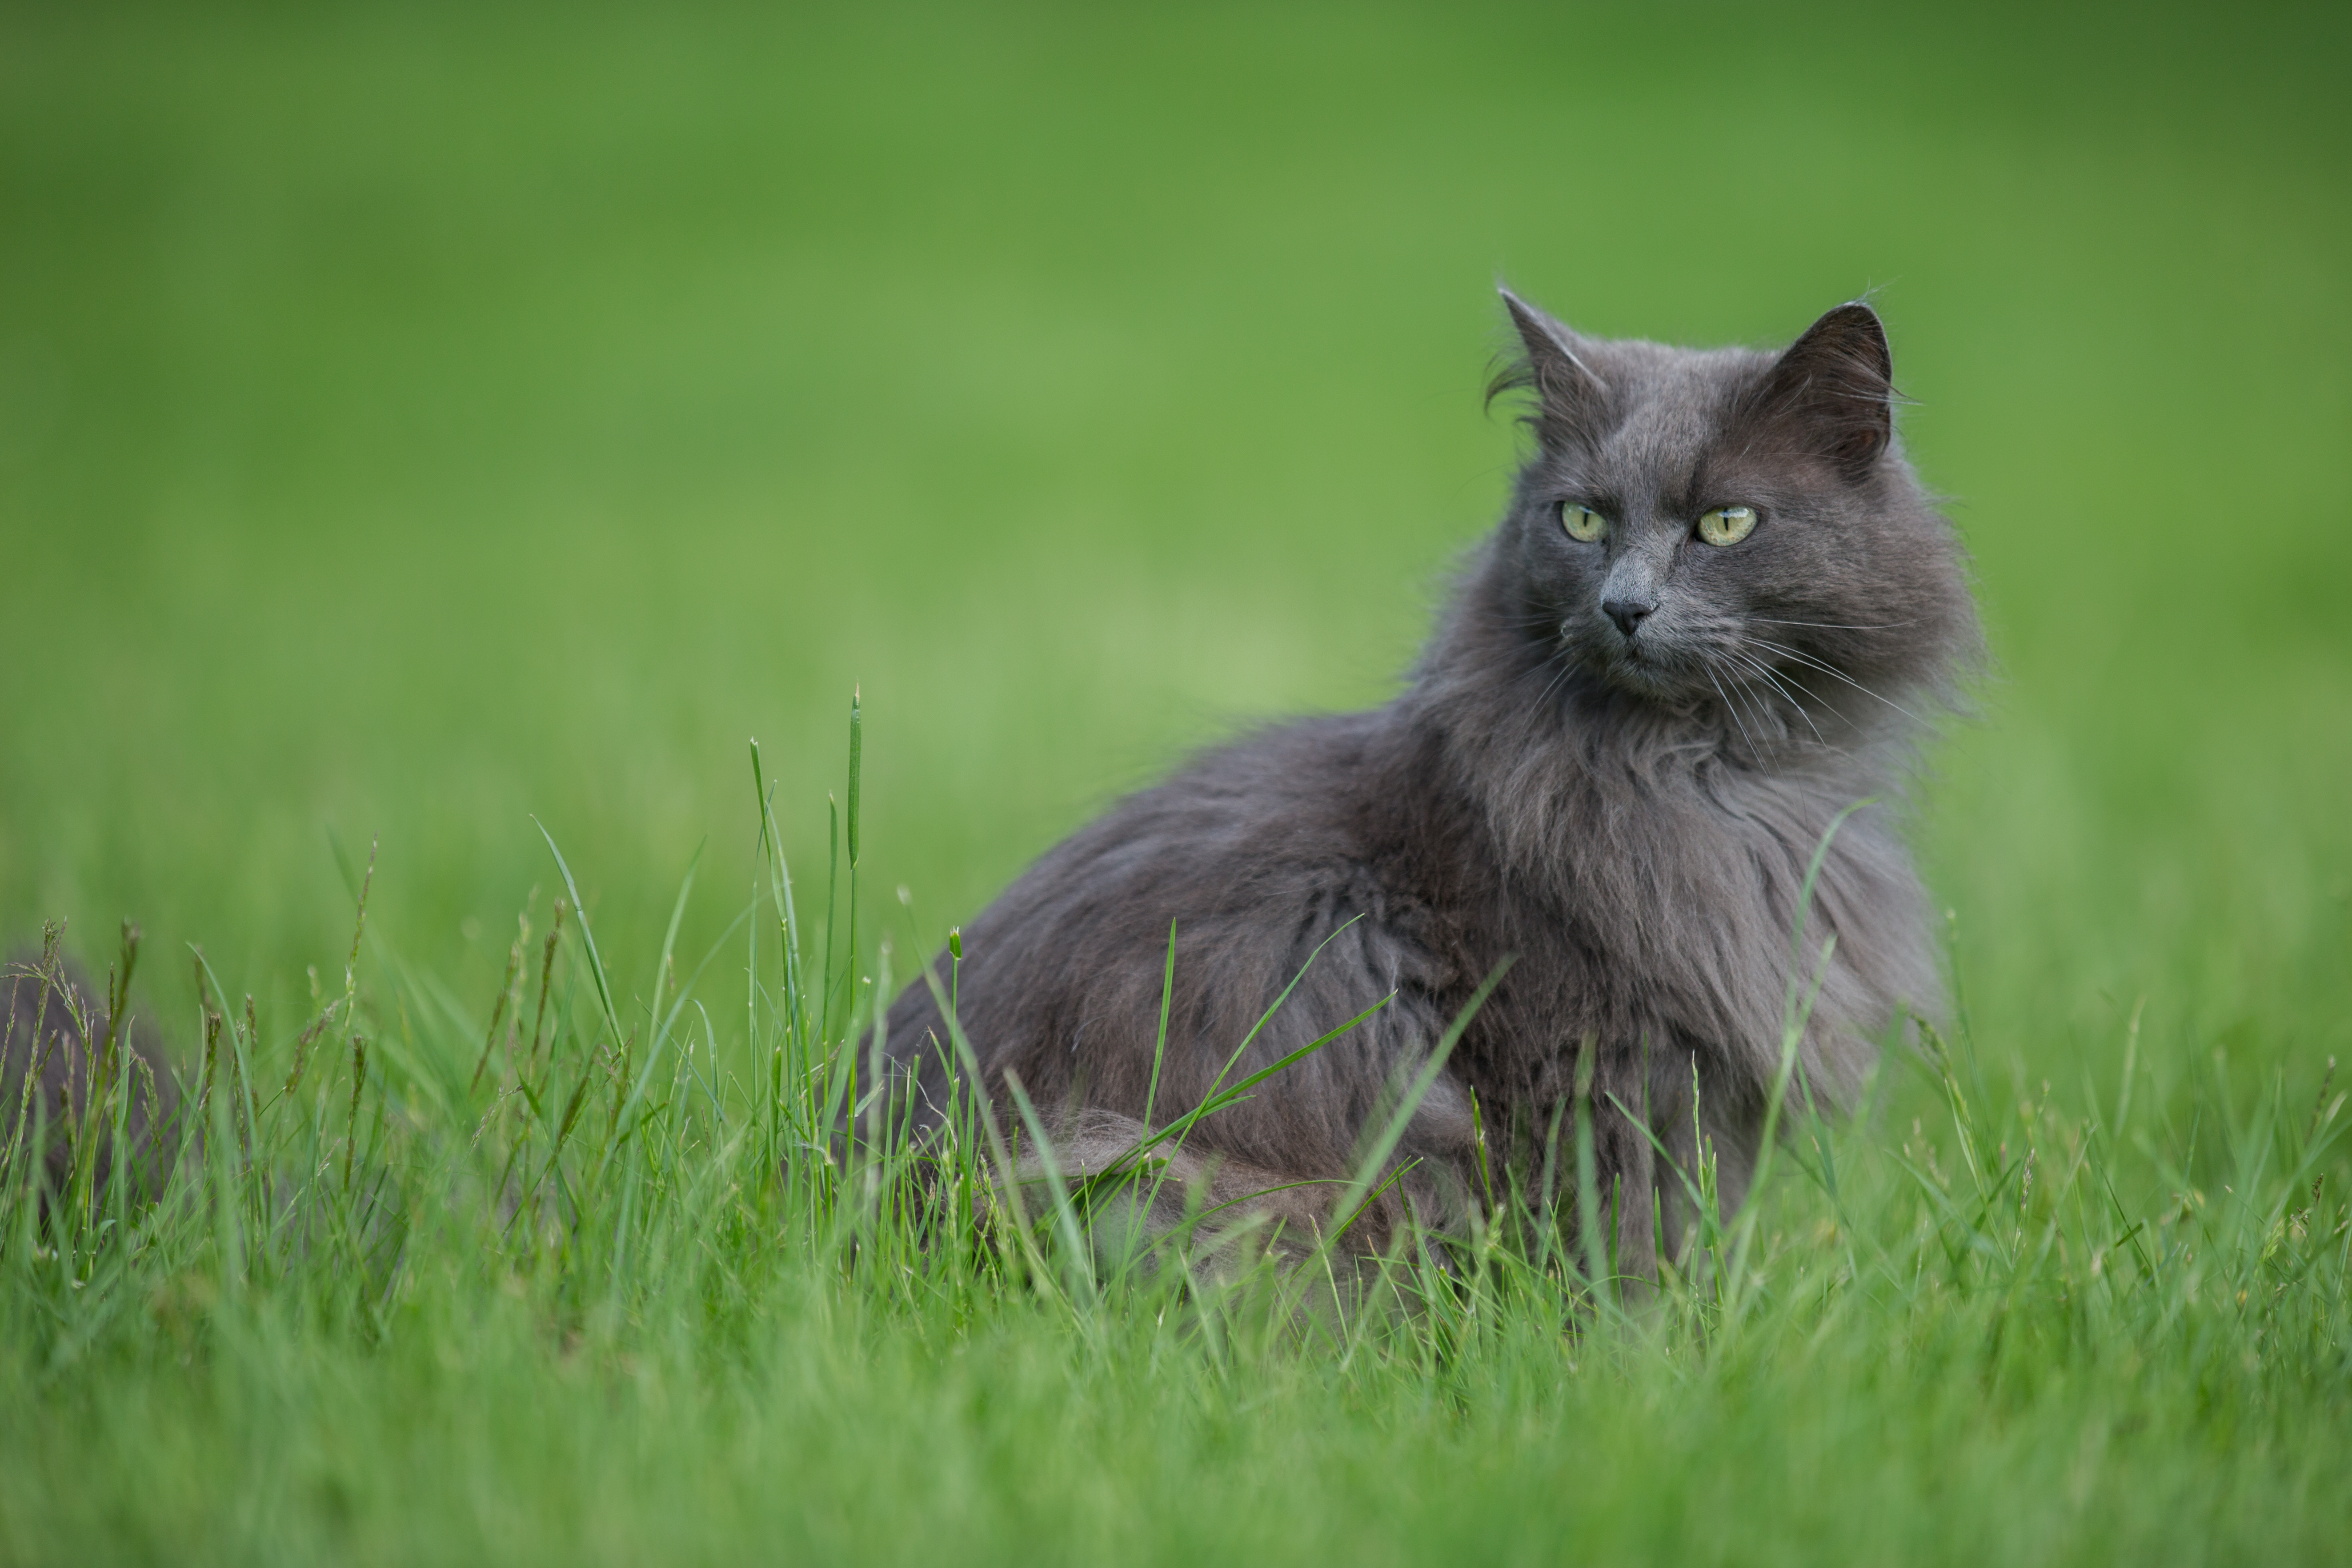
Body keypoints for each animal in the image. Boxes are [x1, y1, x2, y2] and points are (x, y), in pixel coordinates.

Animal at [875, 288, 1975, 1279]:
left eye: (1725, 522)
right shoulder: (1594, 1069)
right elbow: (1623, 1251)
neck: (1710, 782)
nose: (1623, 605)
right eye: (1582, 519)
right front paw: (1639, 1352)